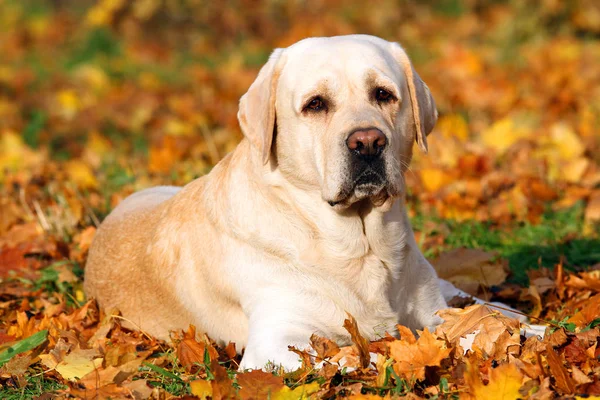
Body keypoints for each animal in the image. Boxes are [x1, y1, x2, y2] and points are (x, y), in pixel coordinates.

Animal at [84, 36, 494, 370]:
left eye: (383, 94)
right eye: (315, 104)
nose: (368, 142)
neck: (360, 244)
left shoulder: (432, 307)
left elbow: (475, 326)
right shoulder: (276, 345)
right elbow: (360, 354)